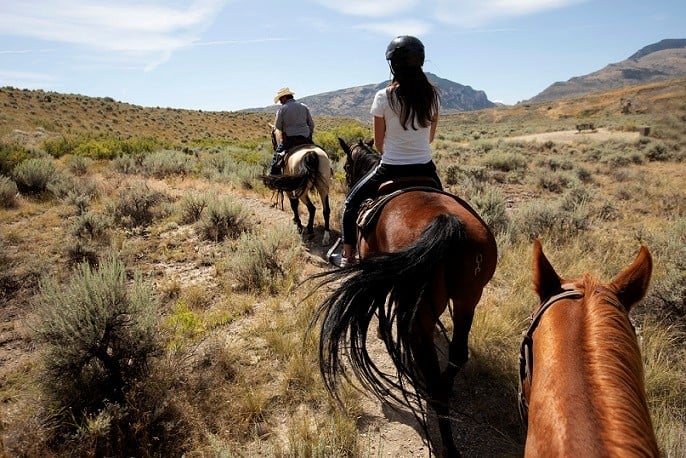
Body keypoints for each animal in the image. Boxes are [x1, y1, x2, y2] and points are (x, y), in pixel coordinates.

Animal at [312, 140, 500, 458]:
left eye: (348, 166)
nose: (346, 180)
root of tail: (447, 223)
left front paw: (378, 330)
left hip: (422, 310)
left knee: (431, 375)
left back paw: (447, 442)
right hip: (468, 299)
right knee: (457, 355)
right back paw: (447, 390)